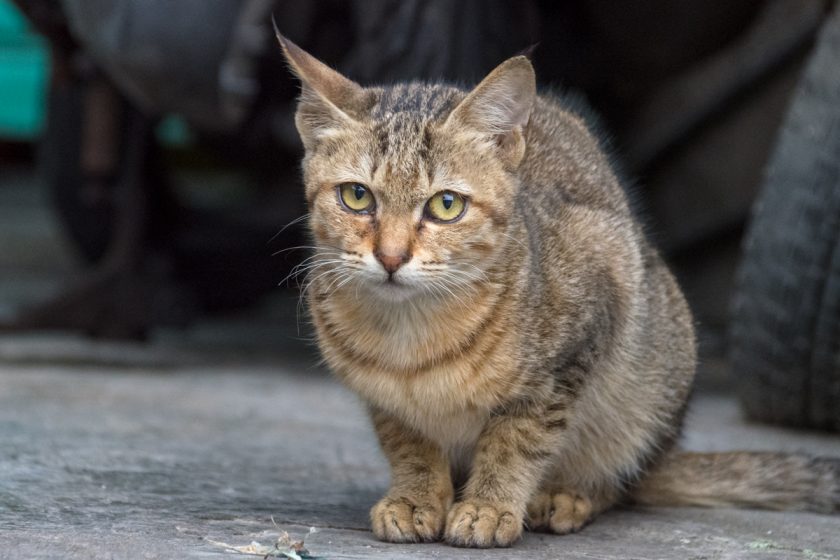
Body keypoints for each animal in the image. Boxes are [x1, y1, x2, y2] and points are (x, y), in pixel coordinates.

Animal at [276, 30, 840, 548]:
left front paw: (489, 505)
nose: (391, 257)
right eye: (356, 196)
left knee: (619, 478)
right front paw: (416, 498)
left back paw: (567, 494)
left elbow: (517, 440)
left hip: (649, 376)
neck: (411, 335)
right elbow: (410, 445)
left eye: (445, 205)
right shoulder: (387, 402)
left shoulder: (577, 341)